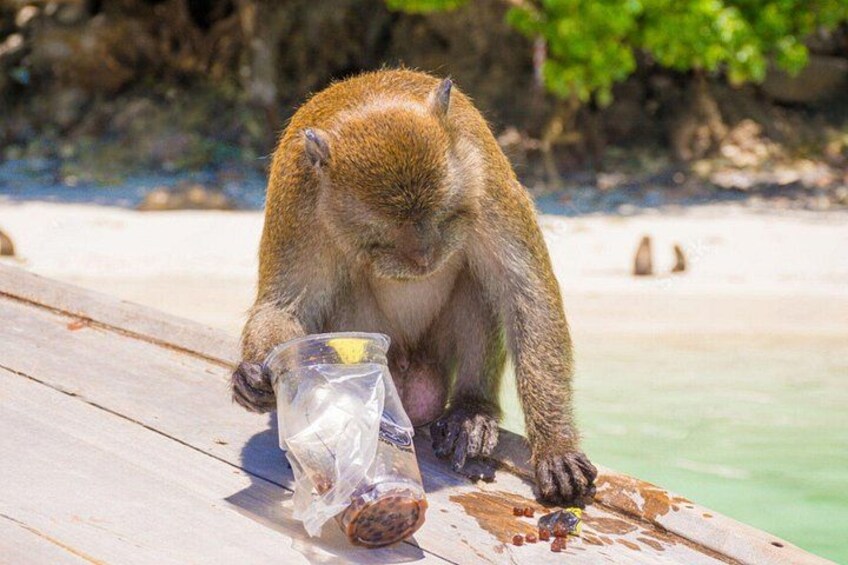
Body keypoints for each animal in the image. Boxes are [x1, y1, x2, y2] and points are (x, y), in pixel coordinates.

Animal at [231, 69, 597, 505]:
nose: (424, 259)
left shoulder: (483, 175)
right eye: (382, 237)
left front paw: (555, 446)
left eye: (442, 215)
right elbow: (284, 306)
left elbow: (527, 294)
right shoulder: (297, 202)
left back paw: (471, 411)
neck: (371, 99)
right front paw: (254, 378)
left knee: (478, 282)